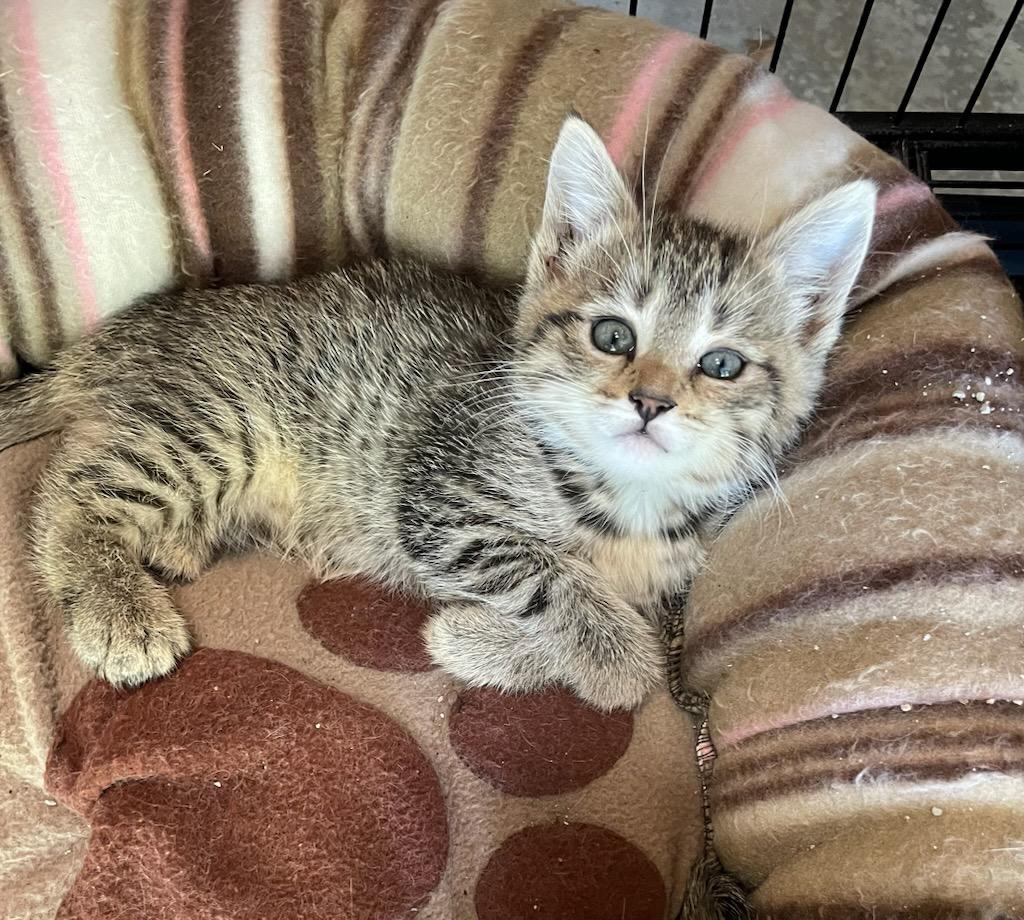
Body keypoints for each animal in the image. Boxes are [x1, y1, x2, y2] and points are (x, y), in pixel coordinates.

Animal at [2, 116, 872, 708]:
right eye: (612, 334)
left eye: (722, 364)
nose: (651, 402)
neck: (622, 500)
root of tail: (142, 324)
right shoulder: (442, 497)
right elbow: (570, 596)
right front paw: (596, 657)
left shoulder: (667, 583)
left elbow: (634, 628)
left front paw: (488, 644)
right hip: (220, 424)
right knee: (70, 487)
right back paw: (117, 607)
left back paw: (176, 547)